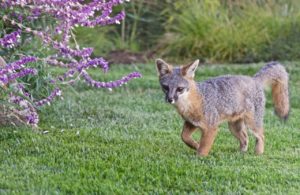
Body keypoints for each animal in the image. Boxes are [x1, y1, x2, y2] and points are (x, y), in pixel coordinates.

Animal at [156, 58, 290, 156]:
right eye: (166, 87)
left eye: (180, 89)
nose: (170, 99)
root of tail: (254, 79)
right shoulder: (191, 123)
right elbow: (184, 137)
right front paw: (195, 145)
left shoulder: (211, 128)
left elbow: (203, 148)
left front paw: (198, 158)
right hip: (234, 127)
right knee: (245, 138)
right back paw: (241, 153)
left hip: (252, 124)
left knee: (261, 136)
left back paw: (258, 154)